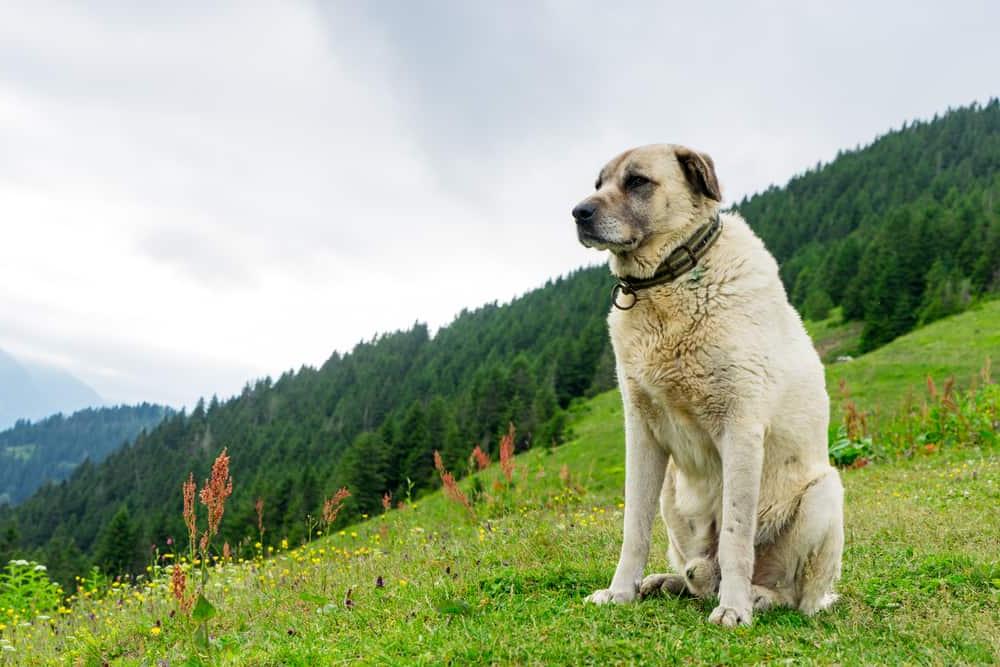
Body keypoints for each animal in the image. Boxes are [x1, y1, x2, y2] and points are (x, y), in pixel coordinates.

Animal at [580, 145, 844, 628]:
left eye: (637, 181)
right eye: (599, 184)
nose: (578, 213)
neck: (669, 281)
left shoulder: (740, 428)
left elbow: (736, 536)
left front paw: (735, 608)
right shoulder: (641, 432)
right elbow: (634, 528)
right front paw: (620, 592)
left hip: (824, 493)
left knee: (794, 595)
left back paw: (757, 597)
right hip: (672, 493)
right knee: (699, 575)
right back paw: (666, 582)